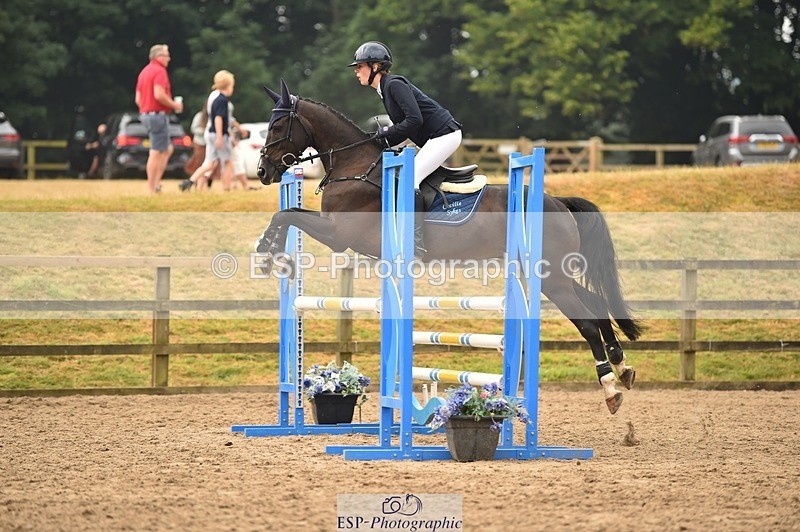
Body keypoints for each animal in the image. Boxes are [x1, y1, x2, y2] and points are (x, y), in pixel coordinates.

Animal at [254, 80, 642, 414]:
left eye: (277, 126)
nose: (262, 172)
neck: (356, 164)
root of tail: (558, 201)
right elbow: (288, 212)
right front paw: (271, 253)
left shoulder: (339, 234)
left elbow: (285, 214)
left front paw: (265, 253)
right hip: (551, 274)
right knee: (596, 305)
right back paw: (622, 367)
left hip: (551, 277)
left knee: (587, 321)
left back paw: (610, 388)